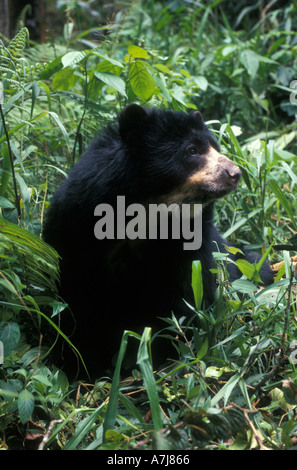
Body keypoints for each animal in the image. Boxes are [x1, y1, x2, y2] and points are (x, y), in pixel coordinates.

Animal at [42, 103, 272, 378]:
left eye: (215, 147)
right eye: (192, 150)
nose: (235, 173)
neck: (148, 214)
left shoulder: (190, 245)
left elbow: (188, 297)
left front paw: (162, 361)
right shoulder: (74, 230)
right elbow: (75, 305)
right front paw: (85, 368)